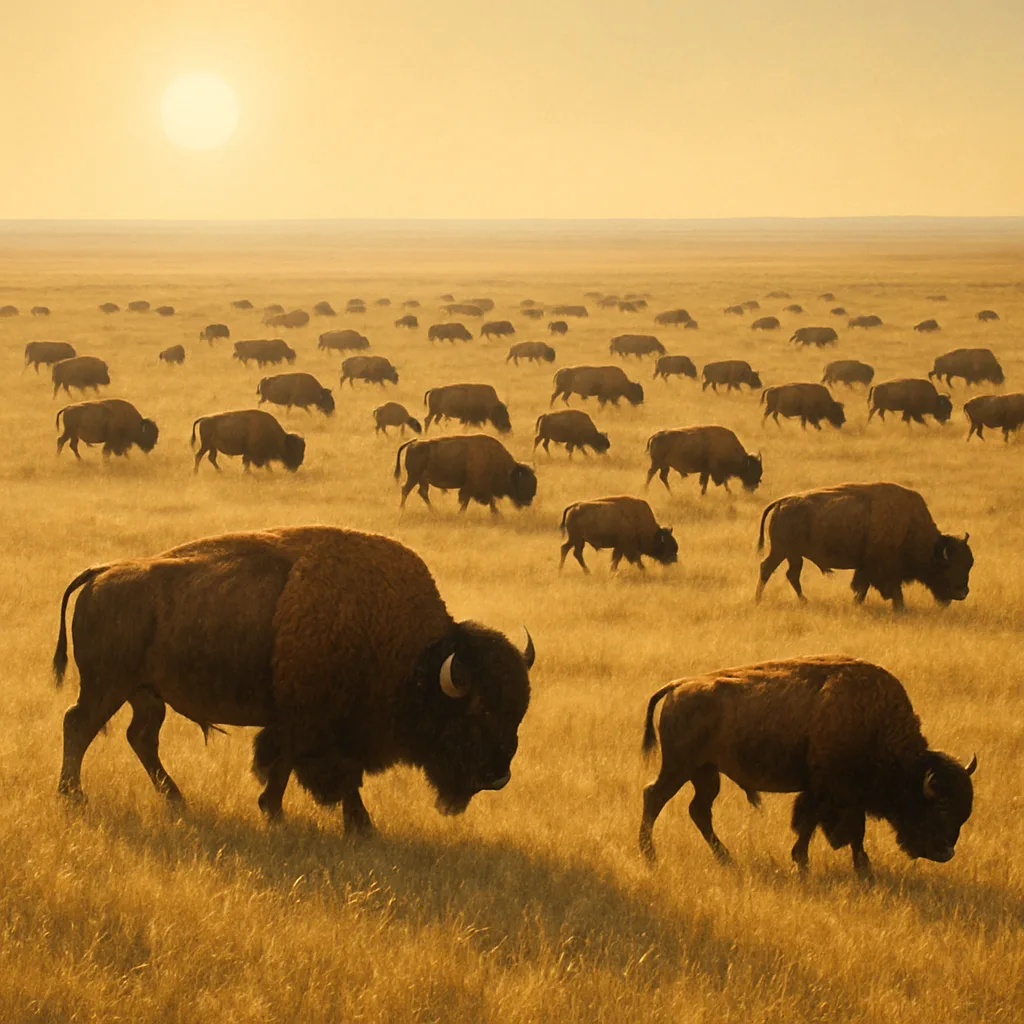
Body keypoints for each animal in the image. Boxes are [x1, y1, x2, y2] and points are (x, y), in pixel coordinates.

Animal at [52, 526, 533, 825]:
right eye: (480, 710)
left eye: (518, 713)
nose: (498, 777)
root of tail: (101, 573)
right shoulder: (321, 727)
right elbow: (337, 773)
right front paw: (360, 825)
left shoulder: (294, 721)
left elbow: (282, 763)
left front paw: (274, 809)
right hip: (107, 685)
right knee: (79, 725)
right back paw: (73, 796)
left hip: (144, 693)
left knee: (140, 738)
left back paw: (178, 801)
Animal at [639, 655, 976, 879]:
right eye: (940, 808)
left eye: (964, 812)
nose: (945, 853)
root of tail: (678, 685)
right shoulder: (830, 792)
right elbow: (832, 827)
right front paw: (835, 867)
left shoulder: (836, 794)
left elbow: (831, 828)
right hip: (679, 767)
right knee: (654, 797)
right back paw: (650, 856)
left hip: (705, 772)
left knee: (699, 810)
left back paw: (726, 859)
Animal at [756, 481, 972, 609]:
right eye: (948, 567)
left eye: (968, 564)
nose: (963, 592)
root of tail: (782, 502)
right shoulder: (882, 569)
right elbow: (887, 589)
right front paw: (900, 608)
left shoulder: (866, 567)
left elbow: (862, 587)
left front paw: (857, 604)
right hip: (782, 551)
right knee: (768, 569)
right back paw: (759, 600)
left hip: (792, 555)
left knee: (790, 574)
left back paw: (802, 601)